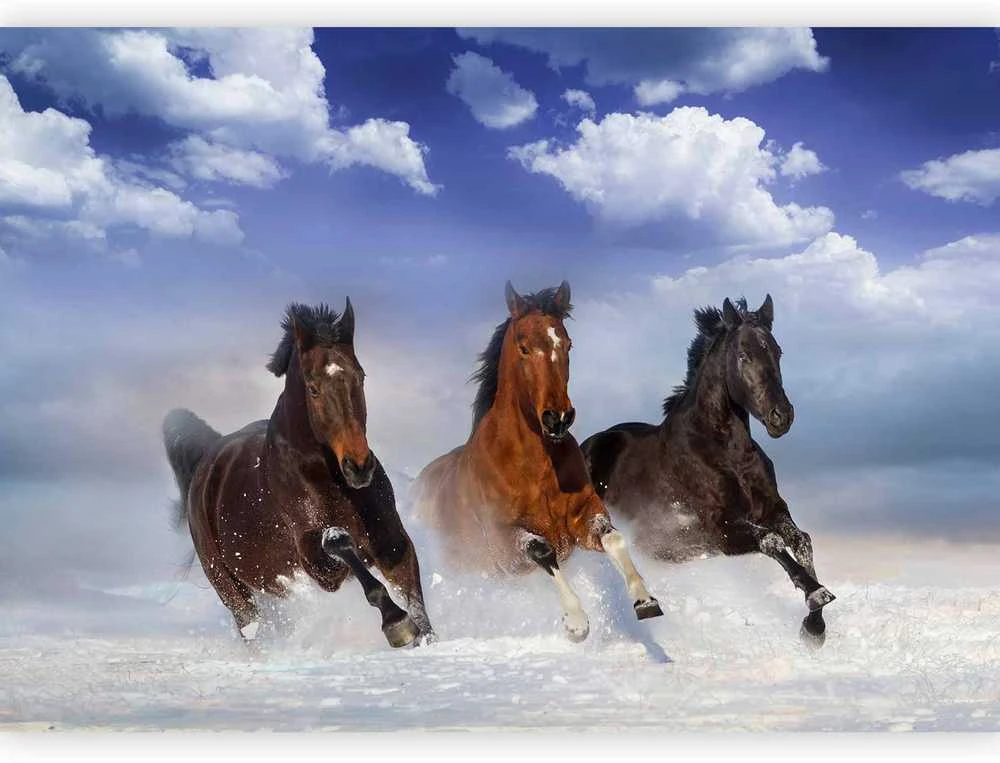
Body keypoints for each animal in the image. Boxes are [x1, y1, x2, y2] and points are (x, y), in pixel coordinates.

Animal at [162, 300, 434, 649]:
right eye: (313, 388)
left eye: (360, 377)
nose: (359, 466)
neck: (328, 478)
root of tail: (208, 460)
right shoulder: (317, 564)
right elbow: (339, 543)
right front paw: (396, 624)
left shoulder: (392, 541)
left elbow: (415, 598)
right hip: (231, 589)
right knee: (251, 628)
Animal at [412, 280, 662, 643]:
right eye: (523, 346)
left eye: (568, 343)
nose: (557, 418)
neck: (536, 467)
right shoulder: (504, 544)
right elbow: (543, 552)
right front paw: (576, 623)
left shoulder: (583, 517)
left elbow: (614, 538)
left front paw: (645, 600)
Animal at [580, 296, 835, 646]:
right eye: (743, 355)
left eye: (778, 351)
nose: (781, 417)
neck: (727, 453)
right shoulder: (720, 528)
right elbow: (771, 542)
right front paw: (814, 594)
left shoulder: (772, 509)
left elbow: (801, 541)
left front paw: (814, 626)